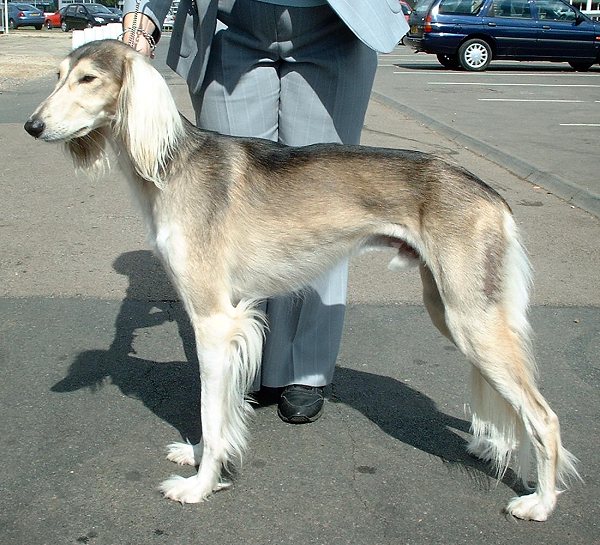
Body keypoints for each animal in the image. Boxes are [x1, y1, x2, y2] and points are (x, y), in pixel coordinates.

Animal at [25, 41, 580, 520]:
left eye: (89, 78)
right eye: (57, 76)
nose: (32, 125)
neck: (171, 166)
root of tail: (489, 192)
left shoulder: (213, 319)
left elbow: (209, 409)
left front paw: (201, 486)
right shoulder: (230, 321)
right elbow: (219, 410)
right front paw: (203, 454)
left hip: (472, 319)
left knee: (545, 417)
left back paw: (541, 502)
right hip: (450, 310)